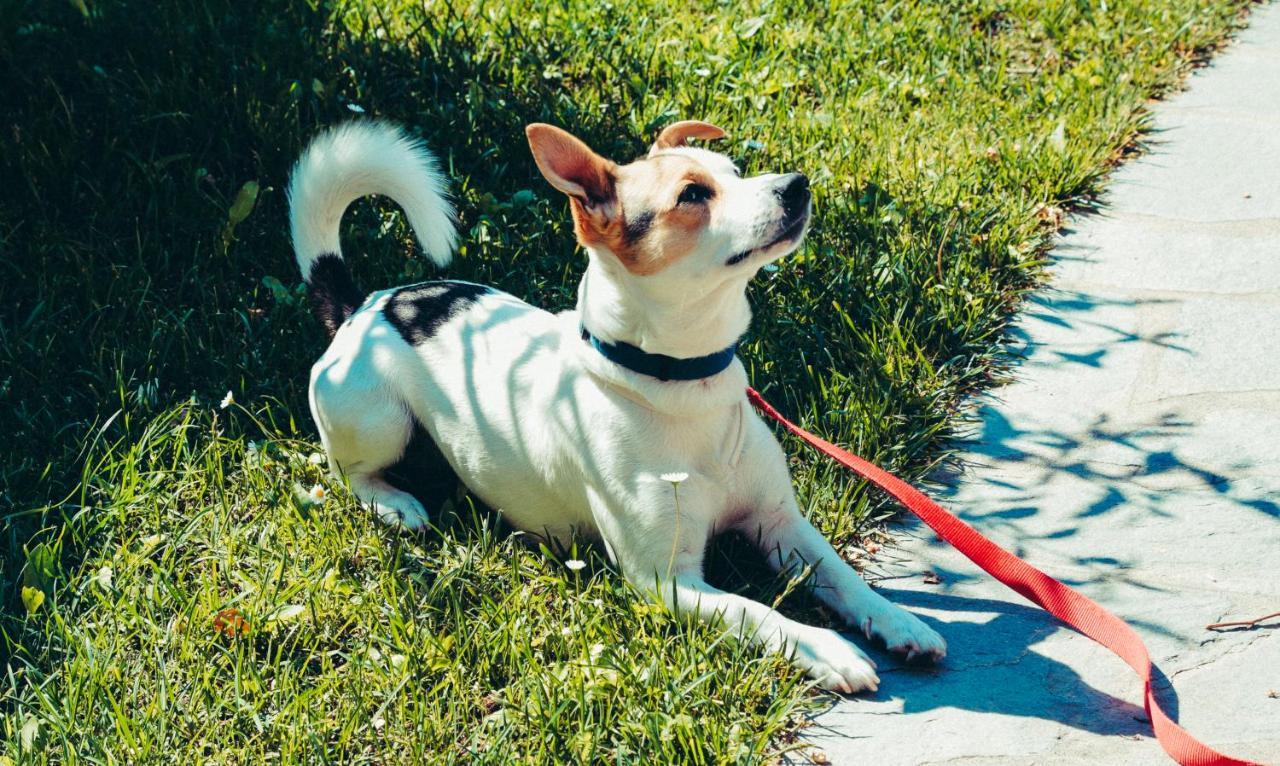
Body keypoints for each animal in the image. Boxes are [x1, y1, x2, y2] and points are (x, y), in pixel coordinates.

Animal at [293, 121, 952, 696]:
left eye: (735, 172)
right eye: (693, 194)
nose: (796, 183)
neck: (683, 384)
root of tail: (363, 305)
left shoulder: (781, 524)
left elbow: (842, 574)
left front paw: (896, 619)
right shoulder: (667, 580)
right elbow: (757, 612)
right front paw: (828, 649)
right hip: (379, 419)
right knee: (350, 473)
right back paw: (394, 503)